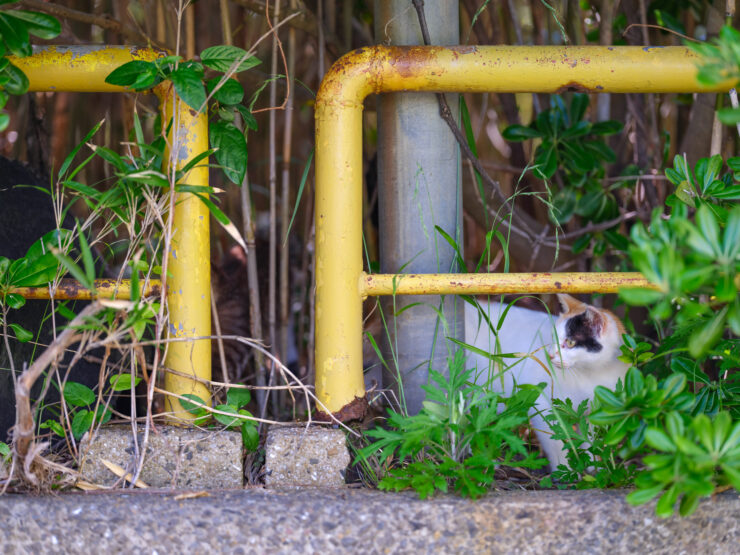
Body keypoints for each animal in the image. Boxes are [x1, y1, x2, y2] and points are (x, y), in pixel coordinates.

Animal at [466, 294, 628, 472]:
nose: (549, 355)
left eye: (570, 343)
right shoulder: (544, 404)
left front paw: (596, 467)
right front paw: (563, 470)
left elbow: (590, 437)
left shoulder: (596, 410)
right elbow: (556, 442)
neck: (592, 373)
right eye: (553, 338)